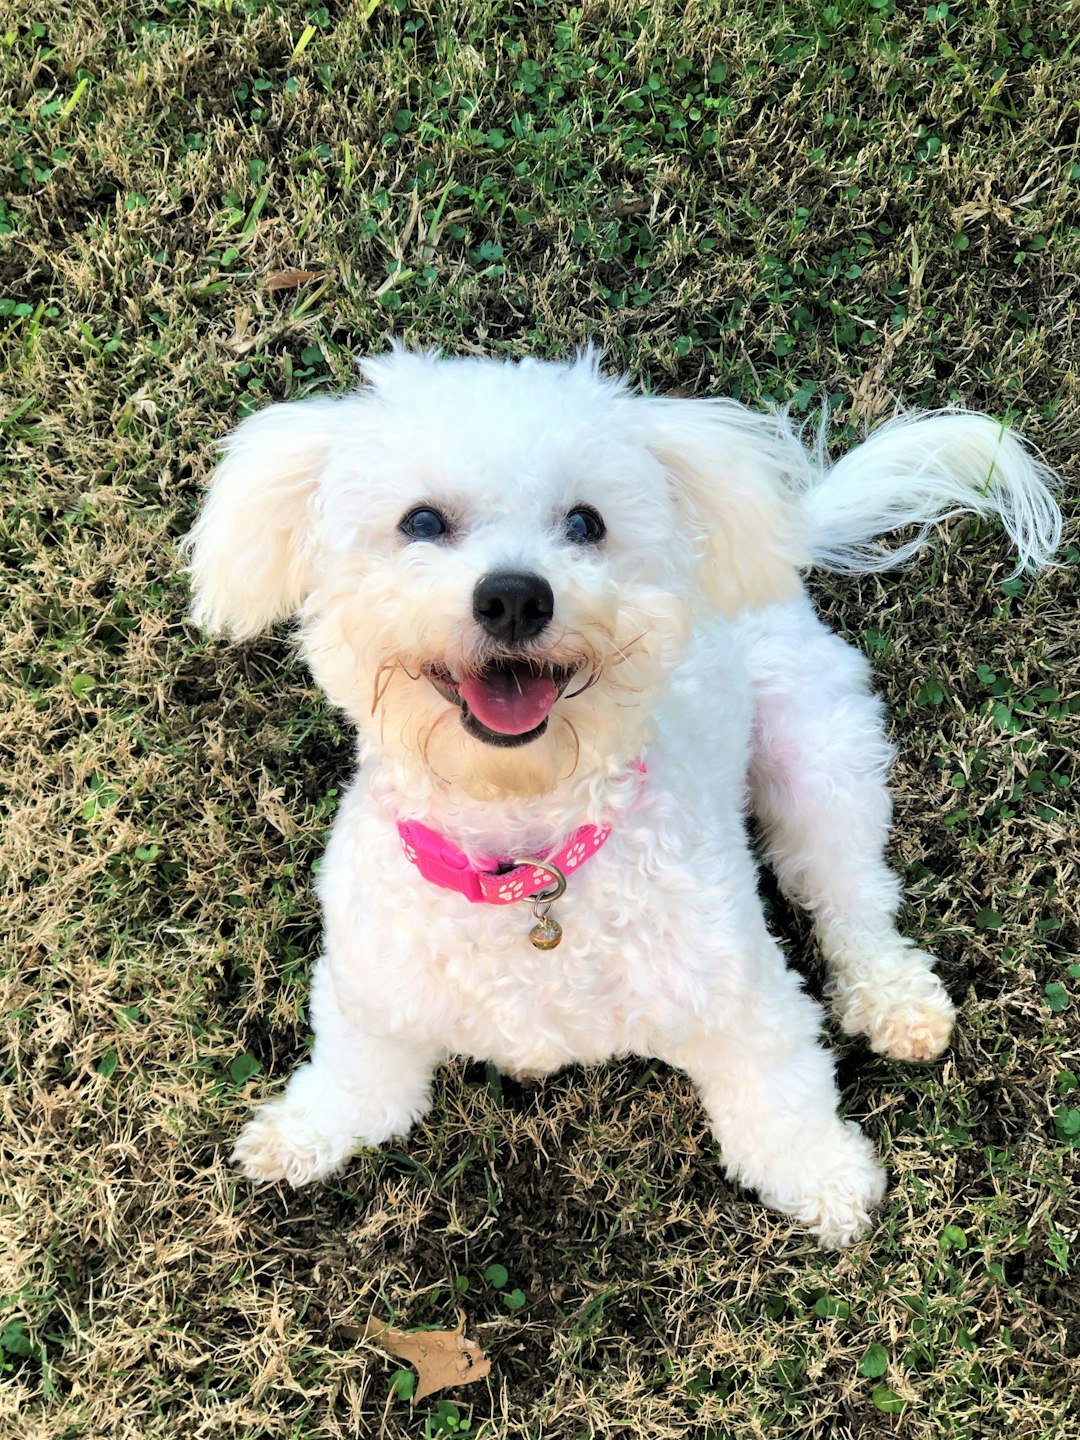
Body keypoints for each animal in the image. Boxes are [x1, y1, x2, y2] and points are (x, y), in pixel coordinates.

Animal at [185, 351, 1065, 1249]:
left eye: (586, 523)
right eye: (421, 521)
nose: (514, 597)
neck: (527, 856)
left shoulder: (744, 998)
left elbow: (781, 1099)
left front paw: (826, 1178)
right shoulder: (367, 994)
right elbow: (356, 1084)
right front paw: (298, 1135)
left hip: (820, 757)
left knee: (853, 896)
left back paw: (894, 1000)